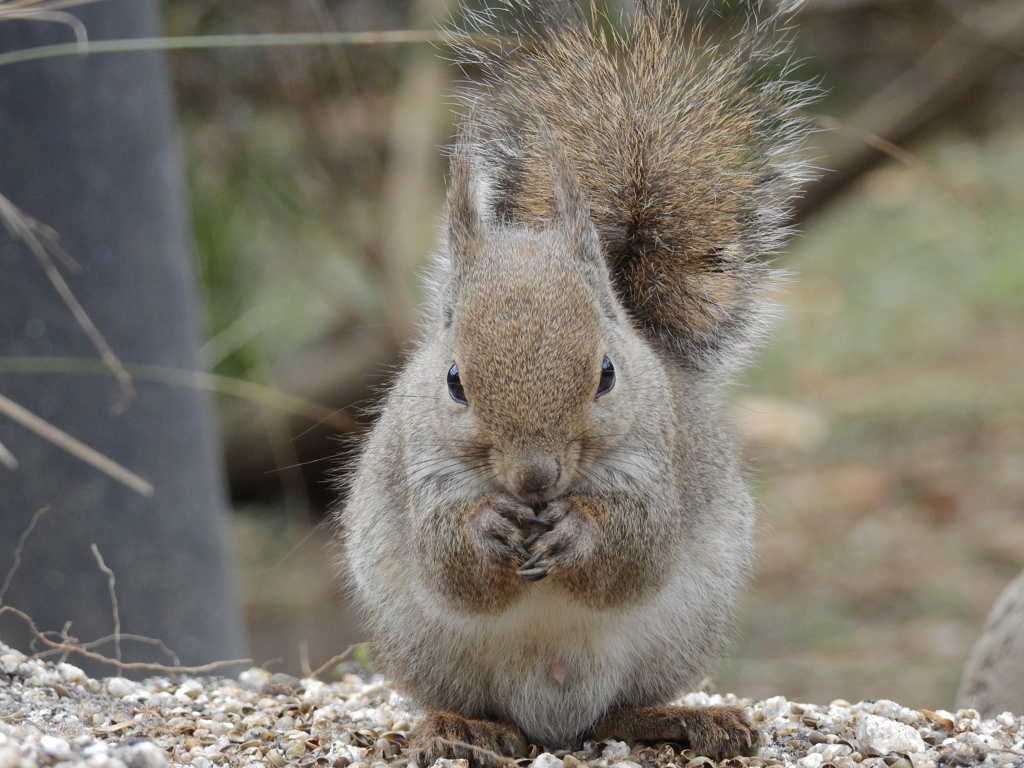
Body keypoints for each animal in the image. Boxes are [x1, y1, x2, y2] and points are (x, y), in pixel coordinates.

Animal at [339, 1, 811, 765]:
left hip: (671, 640)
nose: (535, 478)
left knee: (614, 715)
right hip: (425, 648)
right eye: (454, 382)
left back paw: (681, 720)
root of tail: (549, 719)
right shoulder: (421, 469)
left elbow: (636, 550)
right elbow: (447, 564)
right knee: (476, 703)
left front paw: (577, 532)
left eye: (607, 375)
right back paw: (459, 728)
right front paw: (489, 526)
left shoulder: (659, 463)